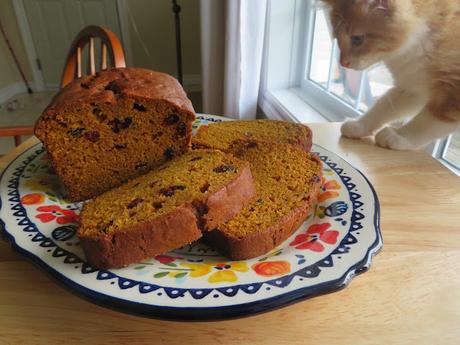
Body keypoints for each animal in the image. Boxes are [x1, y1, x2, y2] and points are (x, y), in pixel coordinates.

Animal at [324, 0, 460, 150]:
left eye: (357, 39)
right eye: (337, 37)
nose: (343, 63)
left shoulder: (452, 95)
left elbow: (426, 123)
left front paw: (400, 137)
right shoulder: (413, 85)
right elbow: (384, 105)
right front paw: (360, 125)